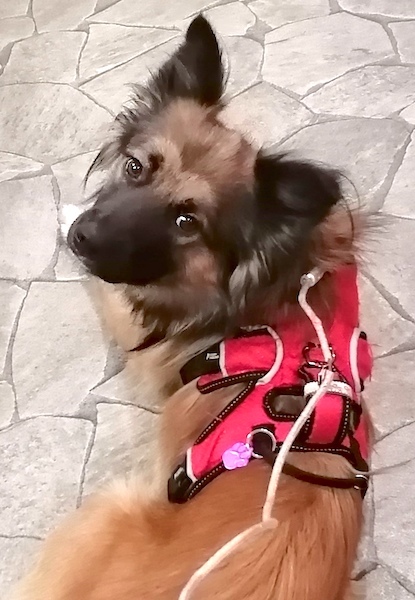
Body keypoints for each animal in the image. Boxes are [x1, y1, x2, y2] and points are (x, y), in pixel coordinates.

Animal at [14, 15, 372, 600]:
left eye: (187, 222)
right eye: (135, 167)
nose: (82, 236)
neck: (279, 281)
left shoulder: (143, 341)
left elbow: (110, 292)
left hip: (107, 510)